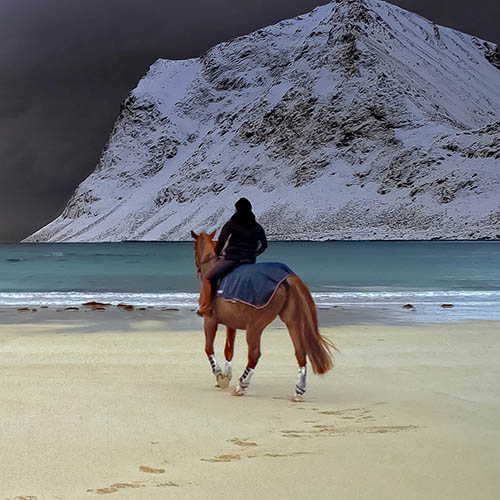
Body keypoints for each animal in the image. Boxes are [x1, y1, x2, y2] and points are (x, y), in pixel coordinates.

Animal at [191, 231, 336, 402]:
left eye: (195, 249)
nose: (198, 269)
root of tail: (287, 277)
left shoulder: (210, 320)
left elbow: (208, 348)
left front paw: (220, 375)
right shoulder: (231, 324)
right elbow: (229, 350)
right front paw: (227, 375)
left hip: (254, 327)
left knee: (254, 354)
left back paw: (241, 386)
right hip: (293, 321)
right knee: (300, 352)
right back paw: (299, 391)